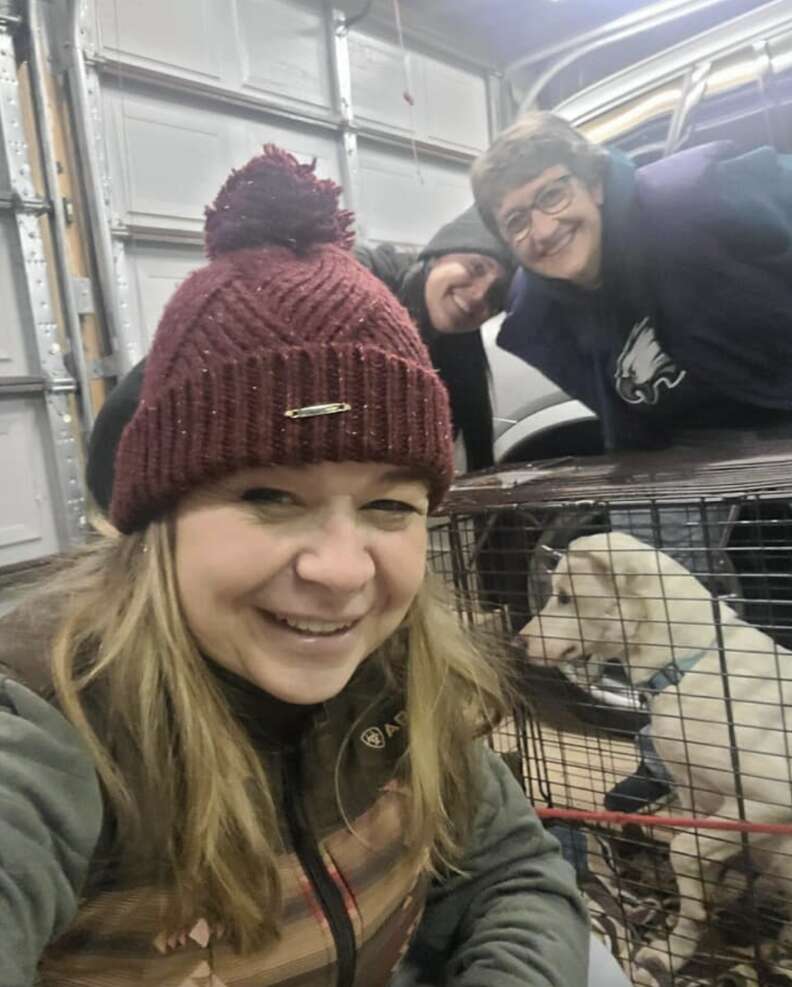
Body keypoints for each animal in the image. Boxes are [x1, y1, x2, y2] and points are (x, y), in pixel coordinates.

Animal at [520, 536, 792, 984]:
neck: (686, 667)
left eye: (564, 597)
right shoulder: (697, 799)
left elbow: (681, 849)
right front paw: (674, 951)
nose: (517, 643)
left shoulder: (769, 799)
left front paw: (697, 907)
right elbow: (692, 865)